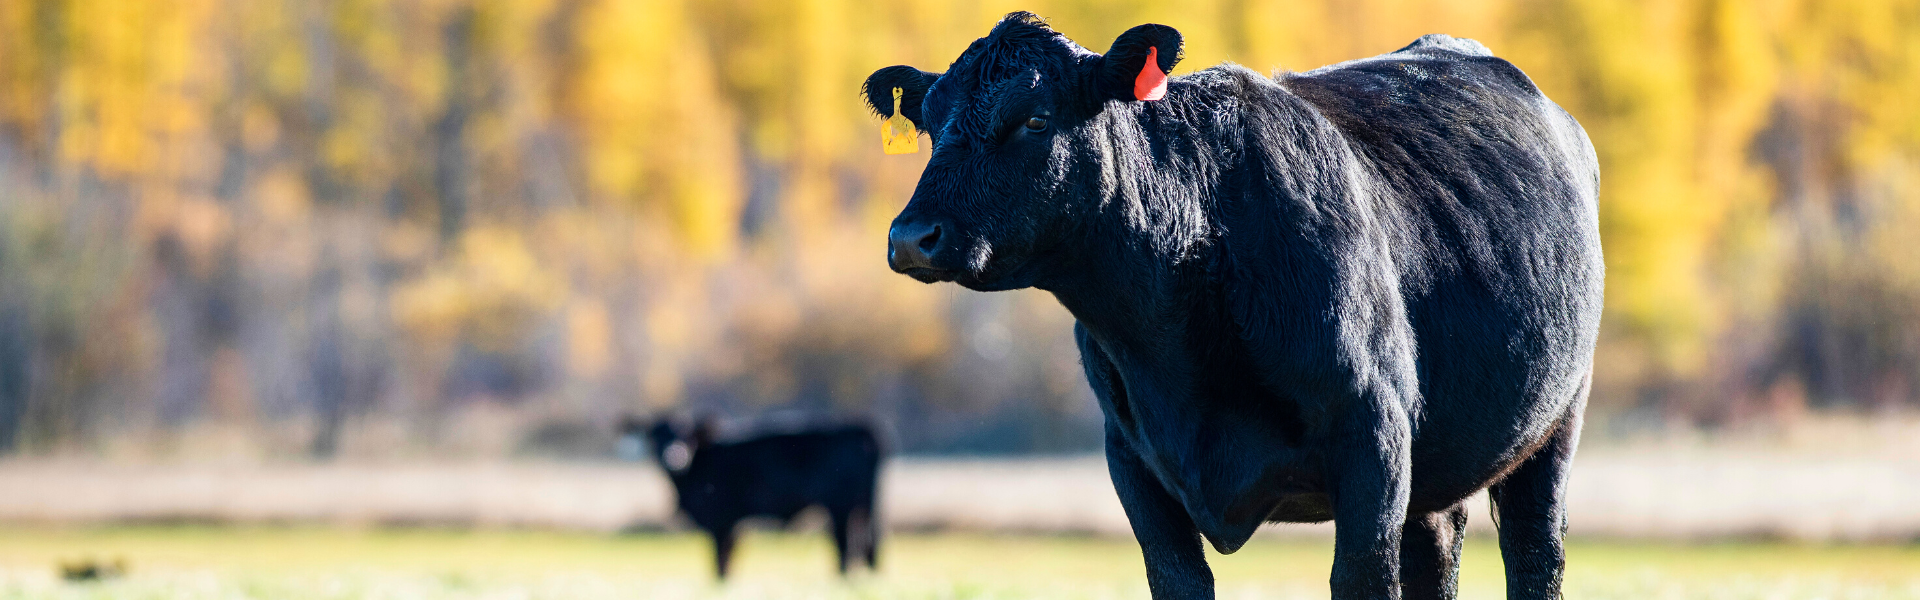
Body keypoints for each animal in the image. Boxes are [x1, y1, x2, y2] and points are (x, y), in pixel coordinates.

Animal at [618, 416, 883, 578]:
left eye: (687, 435)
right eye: (654, 435)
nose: (673, 455)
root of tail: (860, 427)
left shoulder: (721, 519)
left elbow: (720, 561)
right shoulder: (734, 524)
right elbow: (727, 560)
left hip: (841, 507)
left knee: (846, 546)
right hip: (861, 508)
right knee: (862, 545)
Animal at [862, 12, 1602, 600]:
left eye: (1035, 119)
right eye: (930, 125)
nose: (911, 237)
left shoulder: (1374, 435)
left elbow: (1360, 578)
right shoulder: (1133, 459)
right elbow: (1178, 579)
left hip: (1554, 422)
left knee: (1535, 551)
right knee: (1438, 549)